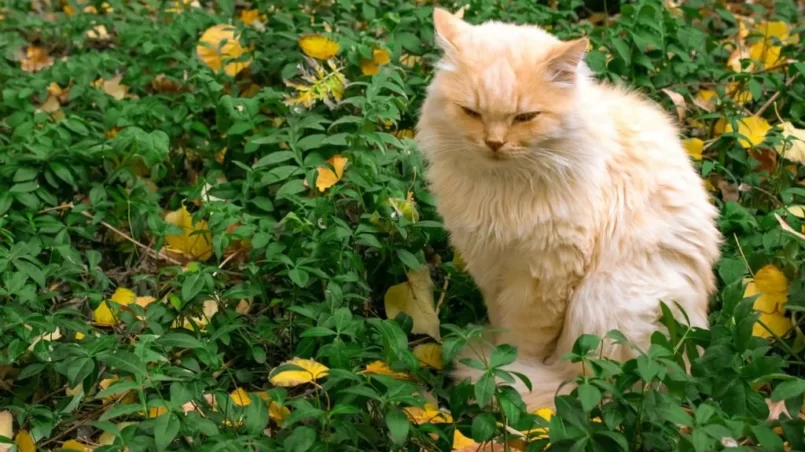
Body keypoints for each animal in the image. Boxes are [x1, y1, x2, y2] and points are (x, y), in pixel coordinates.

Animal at [414, 7, 724, 412]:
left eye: (525, 117)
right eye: (472, 113)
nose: (494, 143)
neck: (502, 187)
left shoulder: (545, 276)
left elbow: (523, 342)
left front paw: (509, 370)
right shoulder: (490, 264)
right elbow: (500, 321)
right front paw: (498, 358)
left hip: (600, 300)